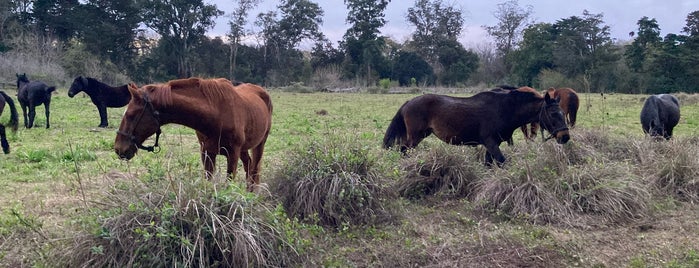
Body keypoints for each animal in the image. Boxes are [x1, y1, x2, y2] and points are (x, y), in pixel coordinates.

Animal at [113, 77, 272, 191]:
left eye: (131, 115)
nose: (118, 148)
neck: (218, 114)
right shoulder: (207, 153)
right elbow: (208, 181)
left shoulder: (232, 154)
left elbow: (229, 182)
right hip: (244, 148)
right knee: (249, 165)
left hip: (260, 144)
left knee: (254, 169)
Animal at [386, 90, 572, 165]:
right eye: (553, 114)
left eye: (563, 113)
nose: (565, 137)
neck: (505, 109)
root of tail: (409, 102)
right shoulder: (491, 142)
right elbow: (503, 162)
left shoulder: (492, 144)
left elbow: (489, 164)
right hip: (415, 137)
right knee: (404, 151)